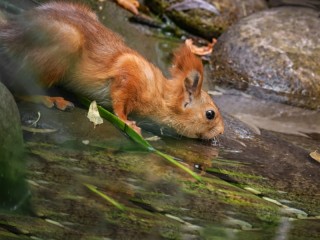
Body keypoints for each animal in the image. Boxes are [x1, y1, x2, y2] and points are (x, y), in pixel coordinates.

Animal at [0, 1, 224, 139]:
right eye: (210, 114)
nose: (221, 132)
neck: (160, 93)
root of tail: (10, 33)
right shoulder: (129, 73)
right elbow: (119, 100)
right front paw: (127, 122)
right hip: (64, 43)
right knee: (18, 86)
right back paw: (50, 99)